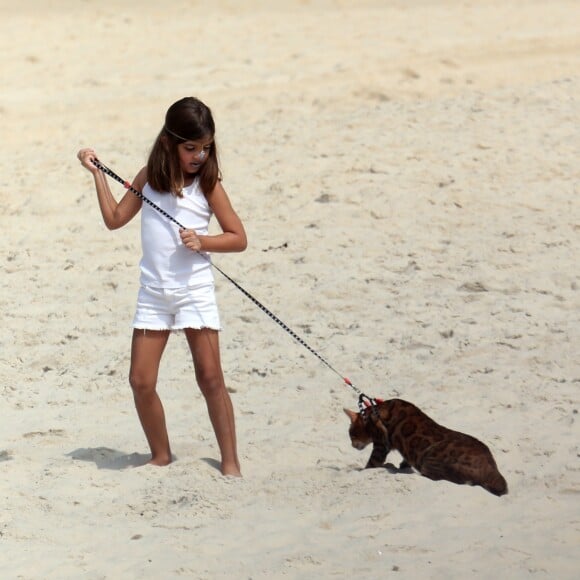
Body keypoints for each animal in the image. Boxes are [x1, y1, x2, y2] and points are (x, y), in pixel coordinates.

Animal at [344, 402, 508, 496]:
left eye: (351, 434)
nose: (352, 445)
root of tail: (491, 468)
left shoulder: (380, 445)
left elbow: (371, 464)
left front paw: (361, 470)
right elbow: (405, 459)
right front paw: (402, 466)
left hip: (429, 461)